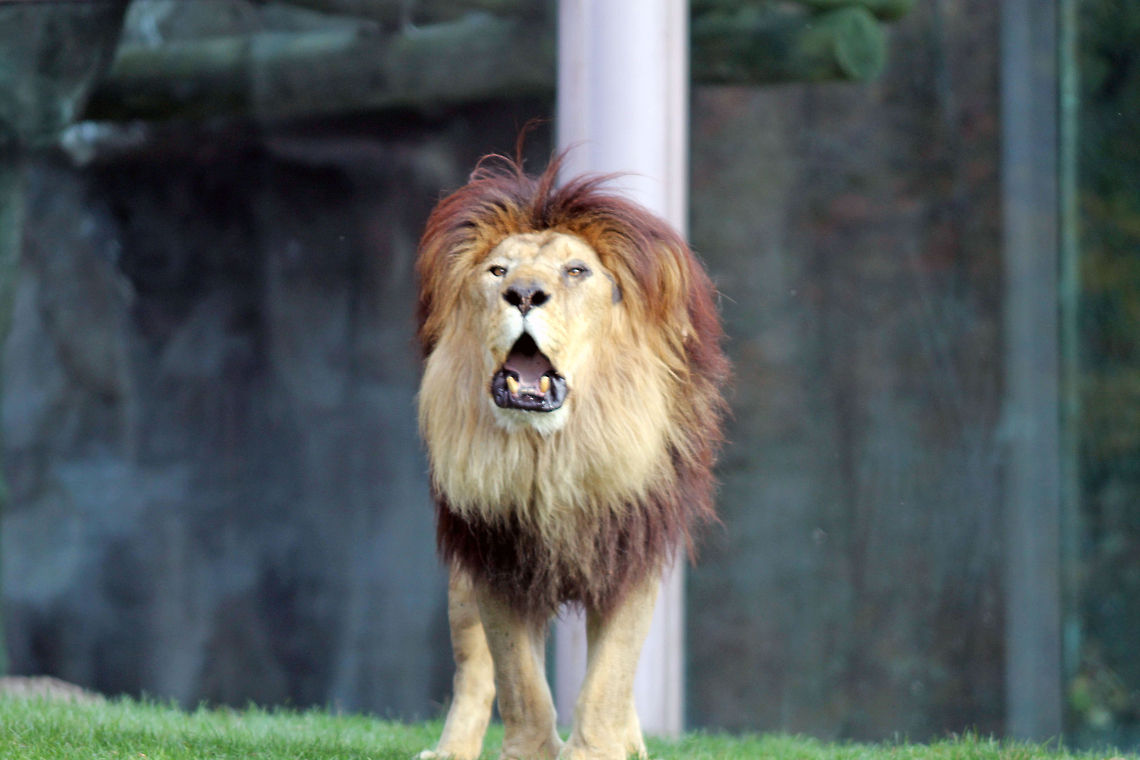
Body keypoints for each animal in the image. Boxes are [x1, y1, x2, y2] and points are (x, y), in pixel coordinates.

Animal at [415, 151, 728, 760]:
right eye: (498, 272)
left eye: (576, 272)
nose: (523, 295)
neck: (553, 454)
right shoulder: (495, 556)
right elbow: (519, 682)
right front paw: (532, 752)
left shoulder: (629, 554)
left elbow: (609, 679)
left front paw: (598, 750)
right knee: (473, 674)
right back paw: (449, 751)